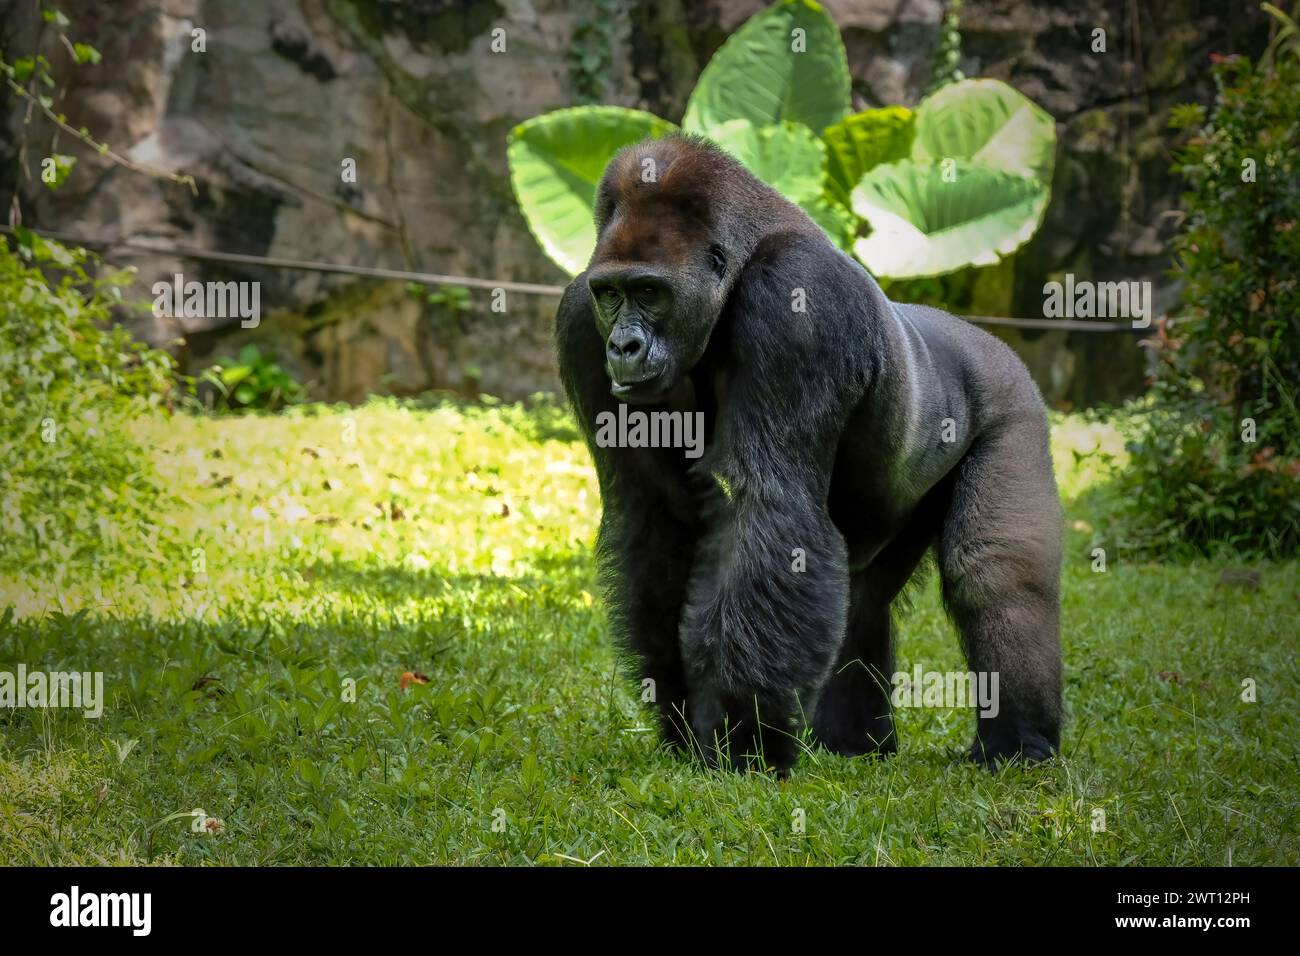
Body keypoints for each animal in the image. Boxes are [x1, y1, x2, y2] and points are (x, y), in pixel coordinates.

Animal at [553, 136, 1060, 780]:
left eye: (649, 292)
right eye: (611, 294)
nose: (623, 345)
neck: (739, 267)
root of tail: (990, 341)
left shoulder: (797, 297)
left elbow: (773, 508)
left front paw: (745, 738)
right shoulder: (579, 319)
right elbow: (658, 521)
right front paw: (683, 719)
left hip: (1014, 400)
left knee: (994, 575)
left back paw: (1021, 743)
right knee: (863, 596)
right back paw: (854, 741)